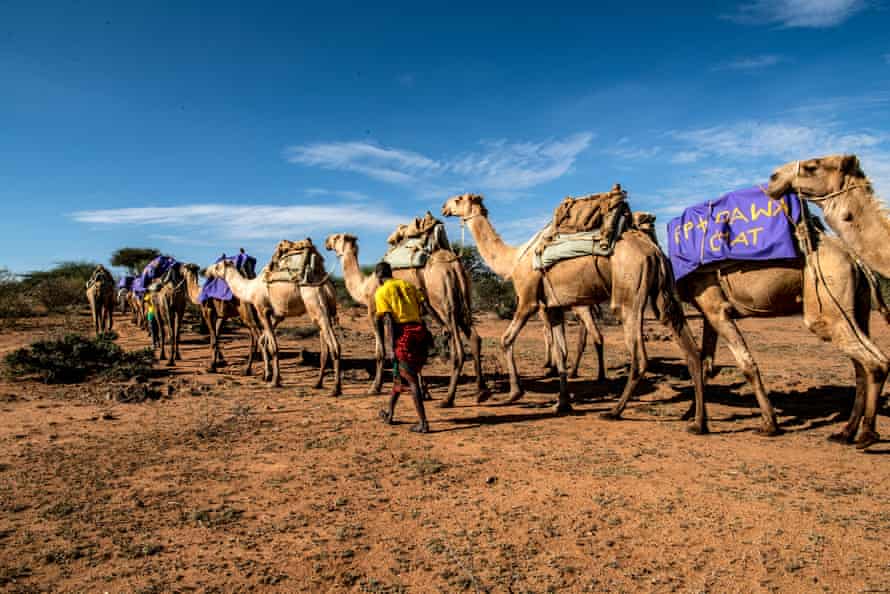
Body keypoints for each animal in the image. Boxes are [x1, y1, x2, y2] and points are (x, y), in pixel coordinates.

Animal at [203, 252, 343, 395]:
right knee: (327, 347)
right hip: (328, 310)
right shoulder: (276, 314)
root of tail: (326, 284)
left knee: (334, 345)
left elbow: (273, 346)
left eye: (217, 266)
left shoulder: (262, 310)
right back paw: (318, 384)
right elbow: (265, 341)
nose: (206, 271)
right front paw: (268, 375)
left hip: (316, 304)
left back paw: (335, 389)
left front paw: (274, 381)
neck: (250, 289)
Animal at [441, 194, 705, 425]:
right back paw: (696, 421)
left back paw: (614, 412)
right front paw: (562, 404)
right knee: (691, 349)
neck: (513, 260)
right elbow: (561, 354)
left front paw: (515, 393)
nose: (444, 208)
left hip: (629, 297)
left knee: (639, 356)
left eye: (458, 199)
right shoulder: (553, 308)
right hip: (663, 293)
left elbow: (506, 339)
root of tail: (653, 251)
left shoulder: (528, 300)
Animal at [680, 153, 890, 449]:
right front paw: (696, 420)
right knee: (863, 367)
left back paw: (866, 434)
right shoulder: (710, 309)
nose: (774, 177)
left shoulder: (715, 308)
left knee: (873, 362)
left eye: (812, 166)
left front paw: (769, 424)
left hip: (827, 308)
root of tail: (855, 260)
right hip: (856, 309)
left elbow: (746, 364)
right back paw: (846, 432)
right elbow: (706, 362)